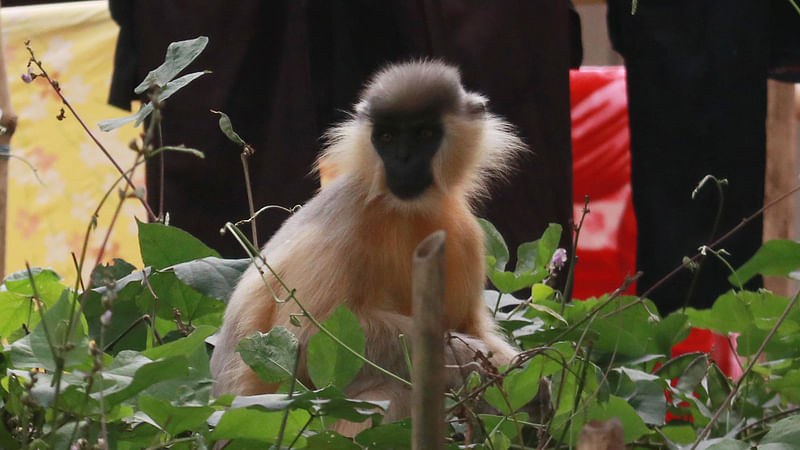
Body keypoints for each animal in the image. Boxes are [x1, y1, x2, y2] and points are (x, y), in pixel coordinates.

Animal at [209, 60, 528, 436]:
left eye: (423, 134)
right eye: (387, 137)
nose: (402, 159)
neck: (403, 209)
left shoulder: (465, 233)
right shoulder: (347, 219)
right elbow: (305, 340)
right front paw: (474, 361)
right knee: (392, 391)